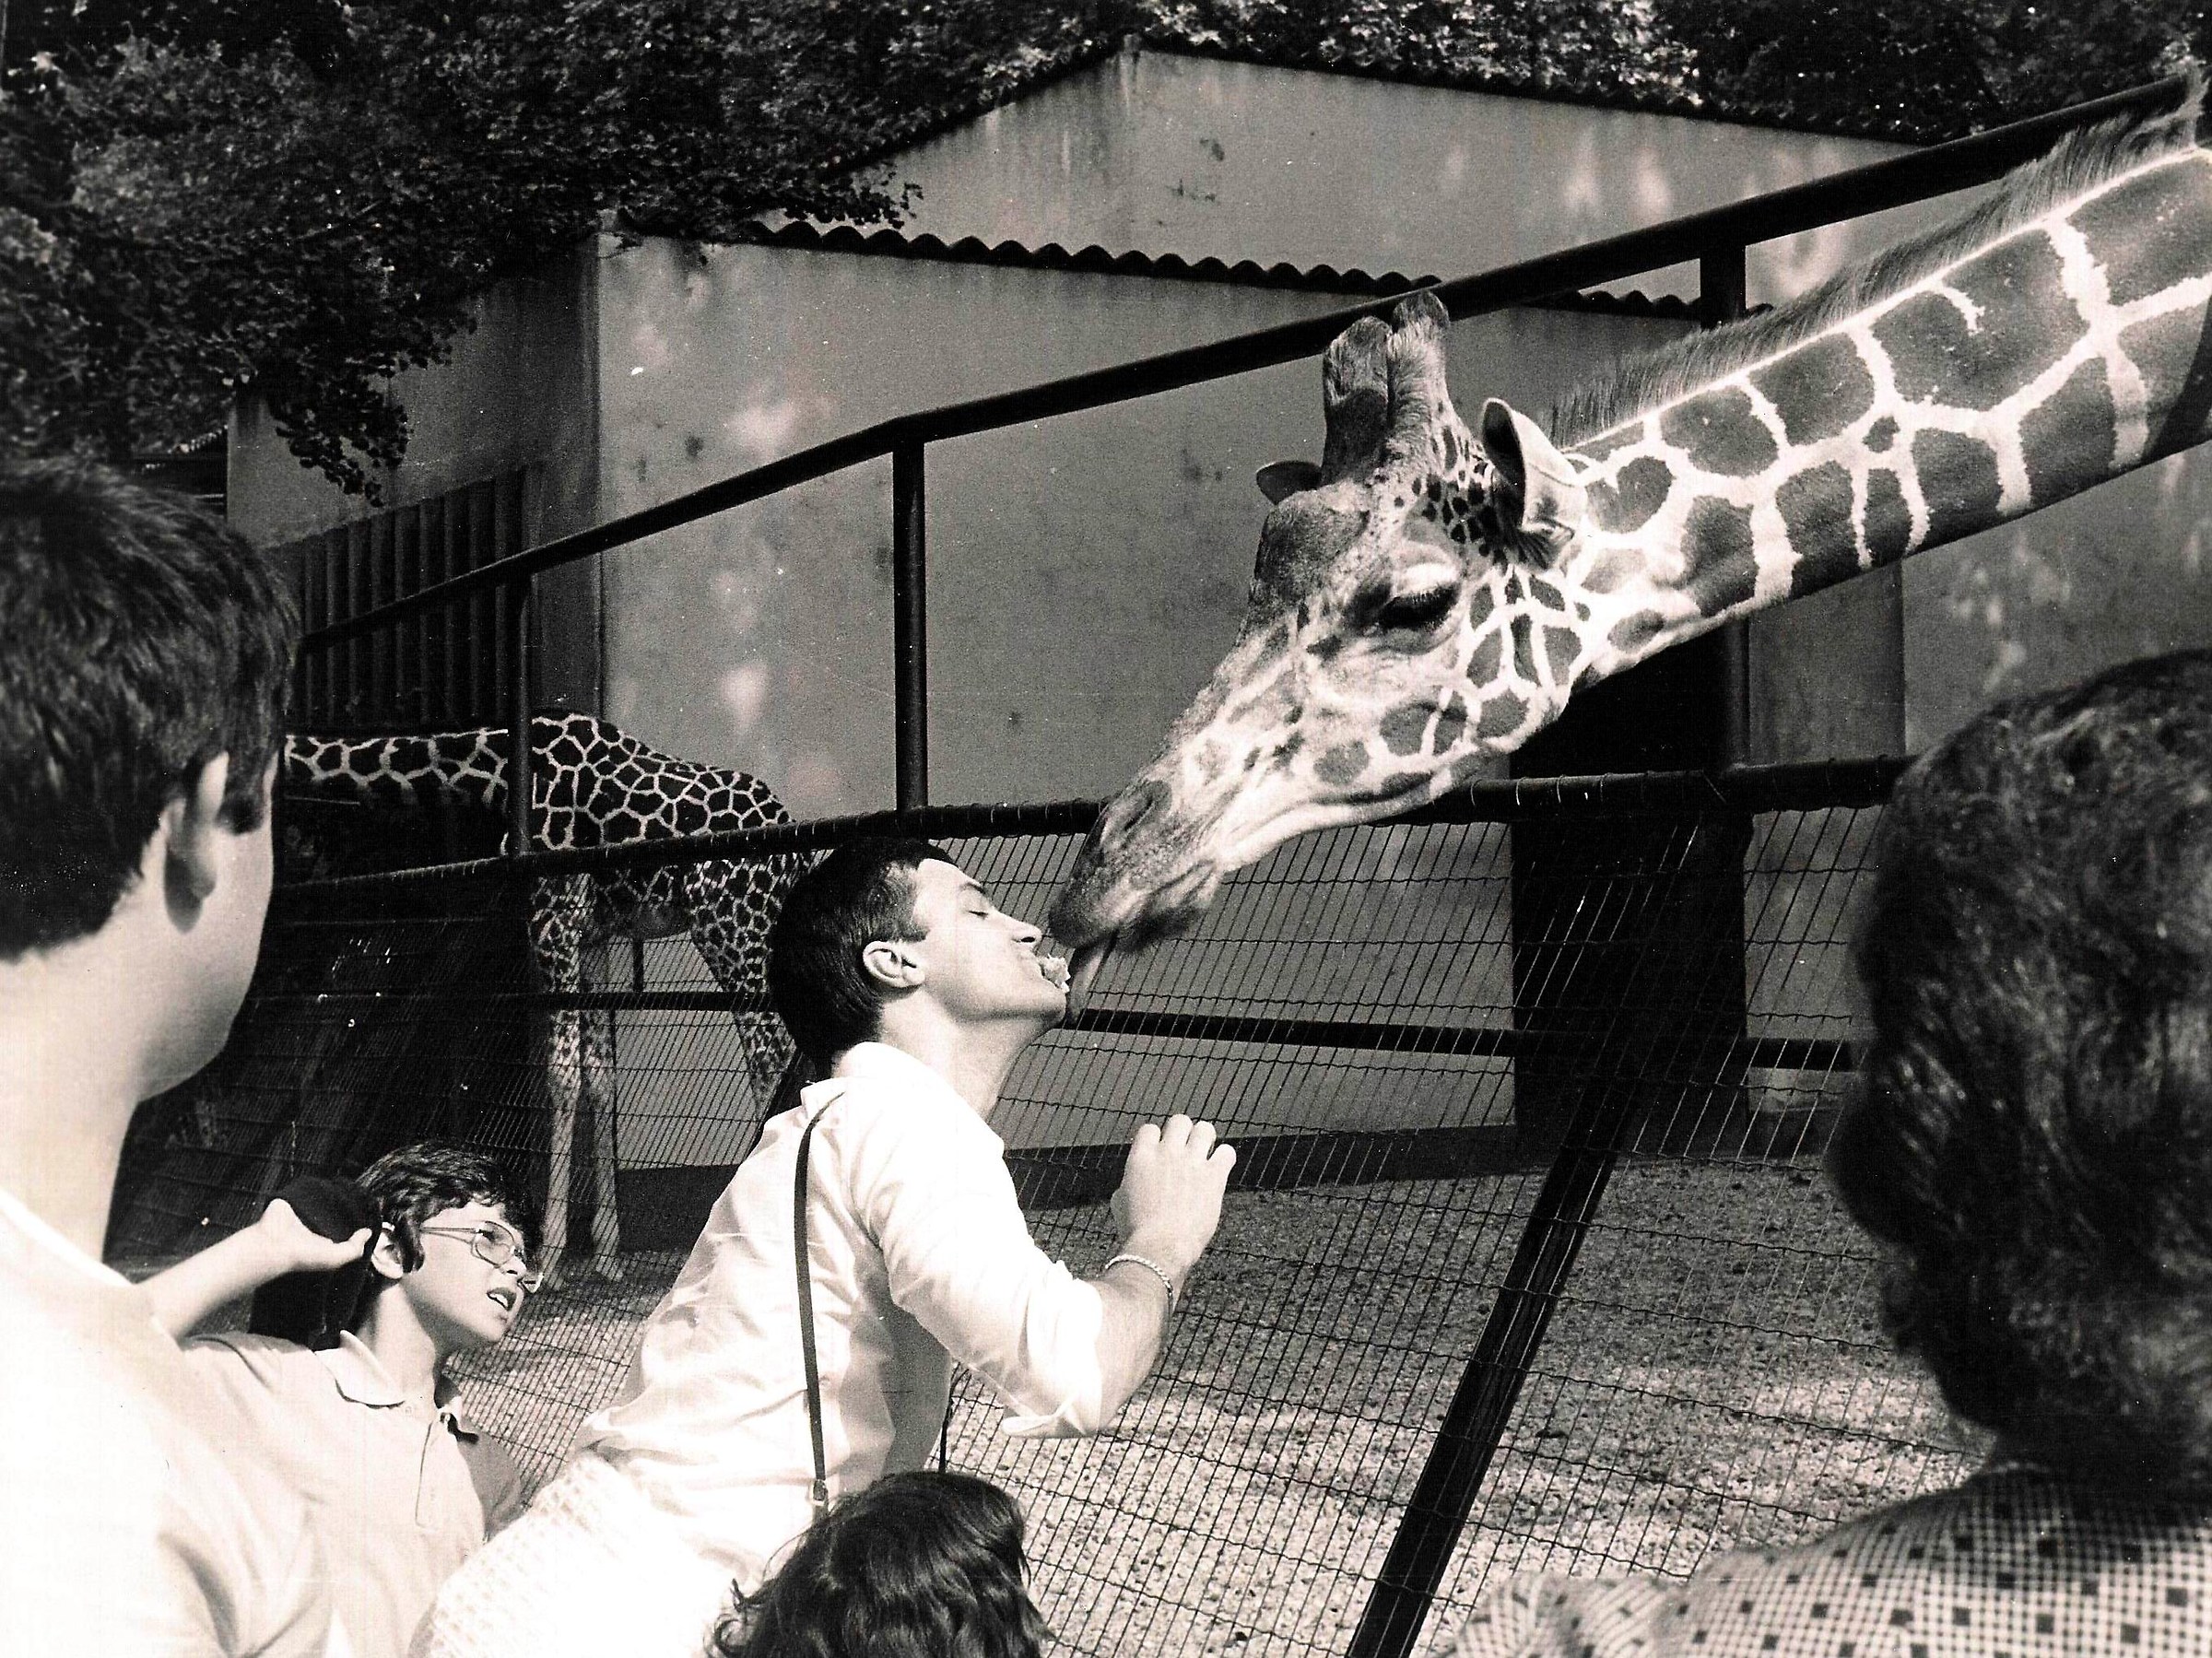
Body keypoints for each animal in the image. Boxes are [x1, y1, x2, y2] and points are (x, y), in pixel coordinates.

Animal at [283, 711, 802, 1284]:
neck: (498, 768)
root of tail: (792, 851)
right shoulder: (594, 935)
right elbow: (599, 1076)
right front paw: (606, 1253)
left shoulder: (553, 917)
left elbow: (561, 1075)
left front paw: (548, 1255)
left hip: (731, 932)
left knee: (770, 1061)